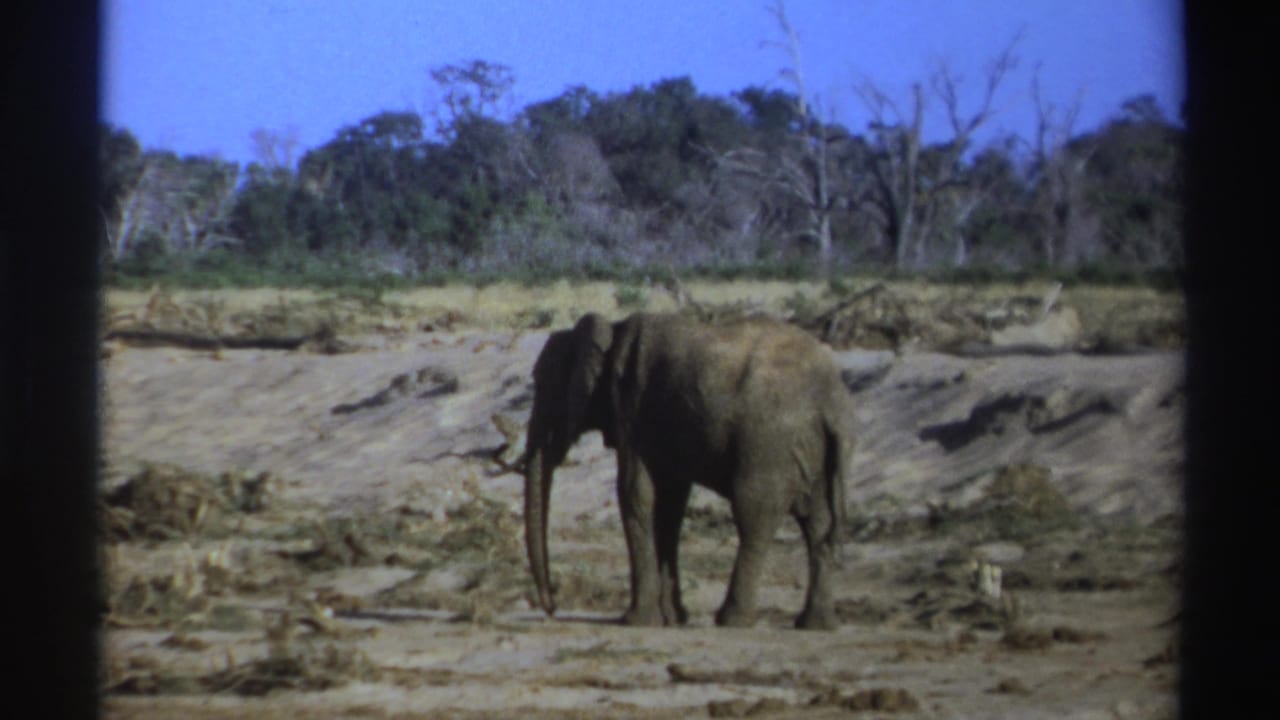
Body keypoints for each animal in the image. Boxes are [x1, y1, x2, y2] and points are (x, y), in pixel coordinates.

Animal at [522, 311, 853, 630]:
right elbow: (670, 503)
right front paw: (672, 618)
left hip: (769, 441)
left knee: (754, 515)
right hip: (810, 449)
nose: (552, 607)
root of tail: (832, 403)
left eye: (544, 384)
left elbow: (635, 494)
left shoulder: (632, 408)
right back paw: (816, 624)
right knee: (817, 522)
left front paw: (637, 621)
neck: (612, 329)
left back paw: (733, 620)